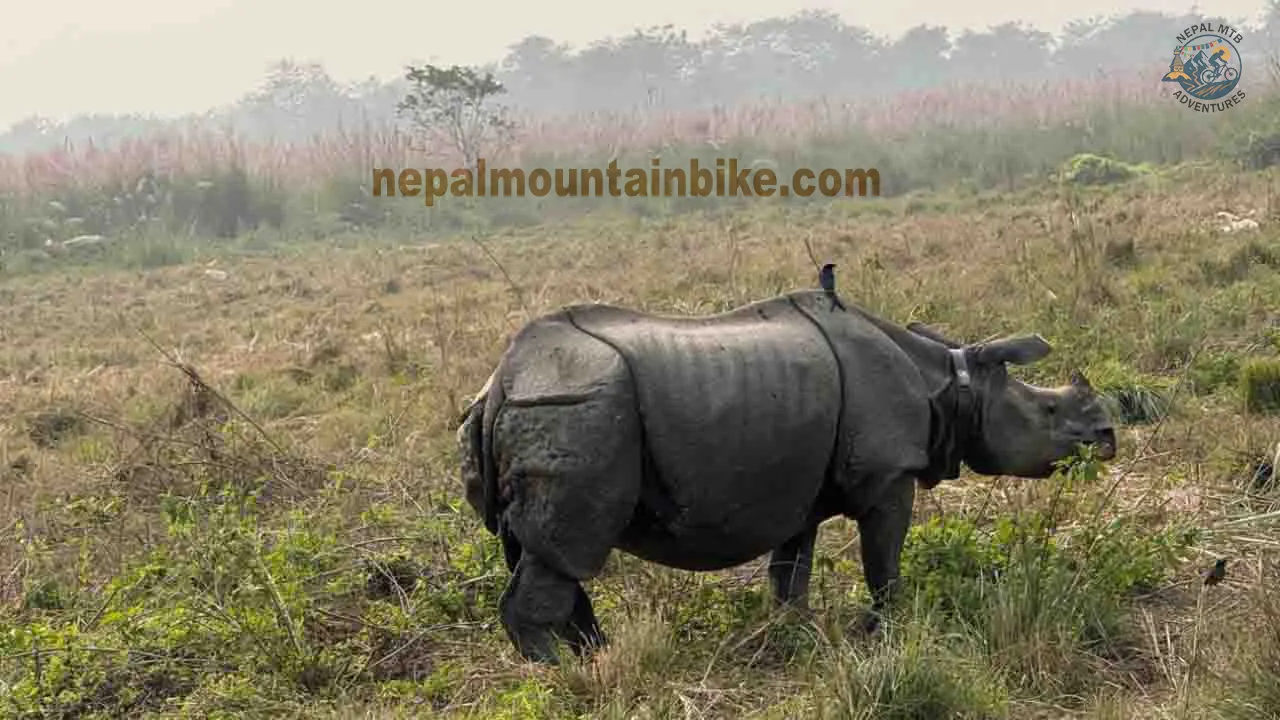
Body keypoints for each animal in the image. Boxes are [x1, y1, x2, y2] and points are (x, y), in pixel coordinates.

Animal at [456, 290, 1117, 663]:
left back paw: (596, 657)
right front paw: (885, 631)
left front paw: (795, 634)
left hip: (553, 407)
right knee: (568, 548)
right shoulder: (889, 474)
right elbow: (883, 560)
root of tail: (500, 383)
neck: (953, 382)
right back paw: (563, 674)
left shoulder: (799, 490)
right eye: (1049, 411)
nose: (1108, 436)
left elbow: (790, 567)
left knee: (542, 552)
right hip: (576, 407)